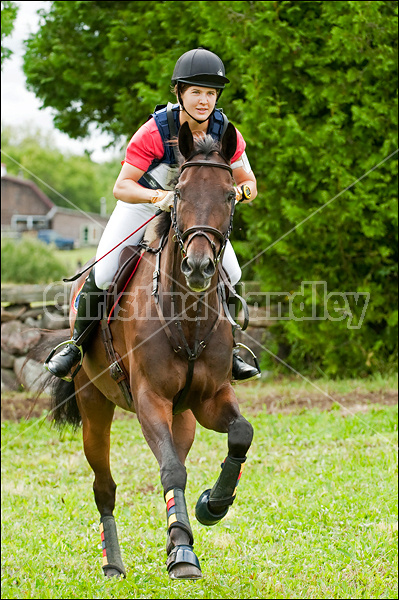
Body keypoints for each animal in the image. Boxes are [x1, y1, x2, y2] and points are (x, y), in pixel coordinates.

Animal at [50, 120, 253, 576]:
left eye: (229, 195)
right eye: (180, 194)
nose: (199, 267)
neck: (187, 317)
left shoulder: (211, 397)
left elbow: (240, 435)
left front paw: (213, 506)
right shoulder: (149, 399)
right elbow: (171, 469)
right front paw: (183, 554)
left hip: (184, 415)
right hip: (94, 405)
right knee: (104, 485)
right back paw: (113, 563)